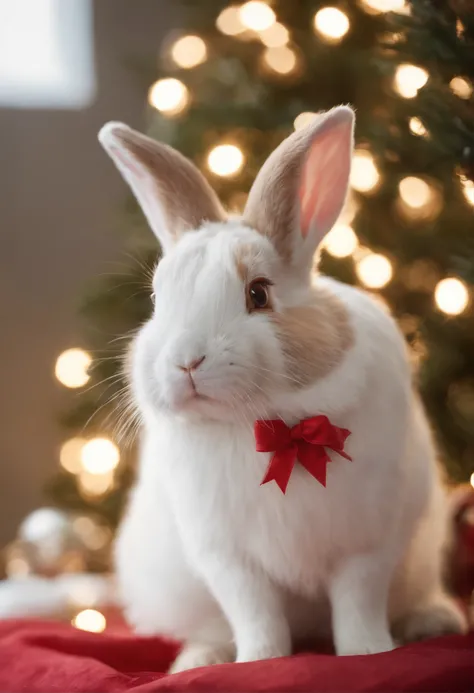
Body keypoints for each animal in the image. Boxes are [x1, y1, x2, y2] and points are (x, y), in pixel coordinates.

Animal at [98, 107, 464, 672]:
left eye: (259, 294)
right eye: (158, 299)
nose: (185, 362)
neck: (272, 422)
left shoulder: (366, 546)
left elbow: (358, 604)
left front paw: (368, 652)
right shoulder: (228, 558)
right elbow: (256, 614)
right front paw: (259, 661)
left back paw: (432, 623)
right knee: (211, 627)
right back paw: (200, 660)